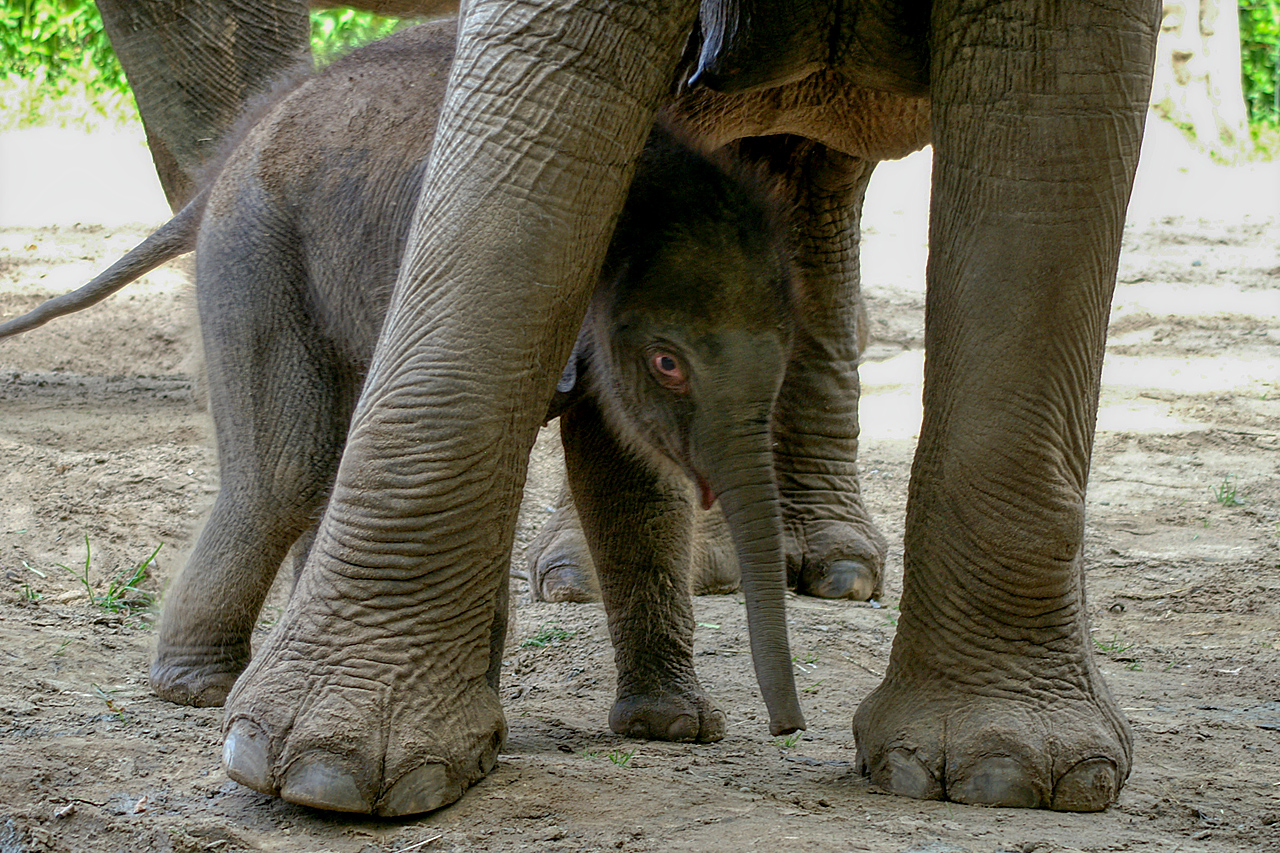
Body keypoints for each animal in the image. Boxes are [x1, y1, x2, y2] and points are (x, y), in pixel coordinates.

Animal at [97, 0, 1162, 814]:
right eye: (668, 362)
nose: (791, 729)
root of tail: (239, 151)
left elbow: (629, 485)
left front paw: (674, 729)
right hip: (254, 254)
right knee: (284, 472)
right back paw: (198, 687)